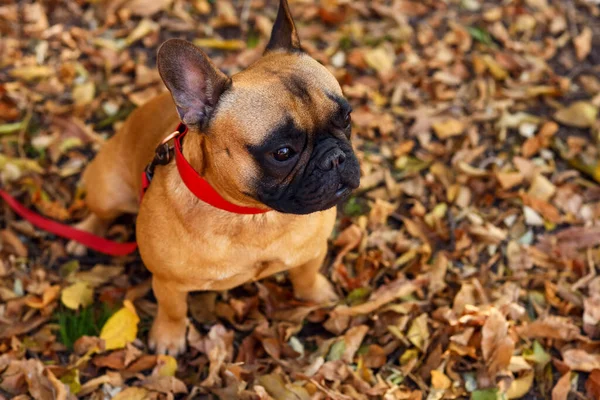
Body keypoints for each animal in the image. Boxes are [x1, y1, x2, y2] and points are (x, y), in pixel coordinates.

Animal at [70, 0, 360, 356]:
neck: (252, 216)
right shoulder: (167, 281)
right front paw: (168, 338)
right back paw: (85, 234)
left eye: (346, 118)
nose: (335, 157)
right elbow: (173, 309)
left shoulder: (313, 249)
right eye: (282, 152)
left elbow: (306, 273)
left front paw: (316, 293)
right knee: (100, 212)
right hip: (107, 191)